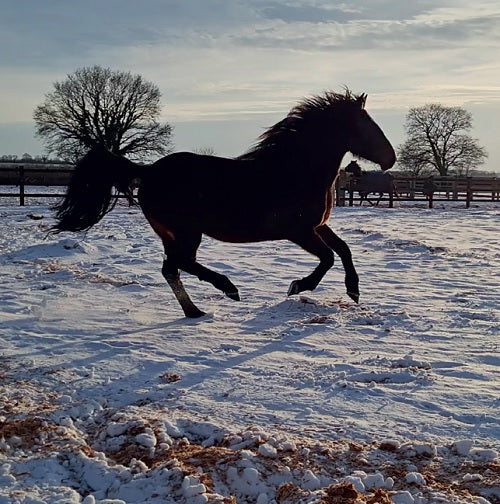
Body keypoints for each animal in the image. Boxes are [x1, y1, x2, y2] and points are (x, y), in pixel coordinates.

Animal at [50, 90, 394, 316]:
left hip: (171, 233)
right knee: (181, 264)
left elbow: (344, 250)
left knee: (171, 268)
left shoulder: (317, 226)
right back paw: (228, 289)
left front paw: (354, 290)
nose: (390, 159)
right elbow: (327, 258)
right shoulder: (298, 231)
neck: (294, 170)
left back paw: (195, 311)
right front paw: (298, 285)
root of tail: (147, 172)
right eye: (366, 125)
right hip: (186, 231)